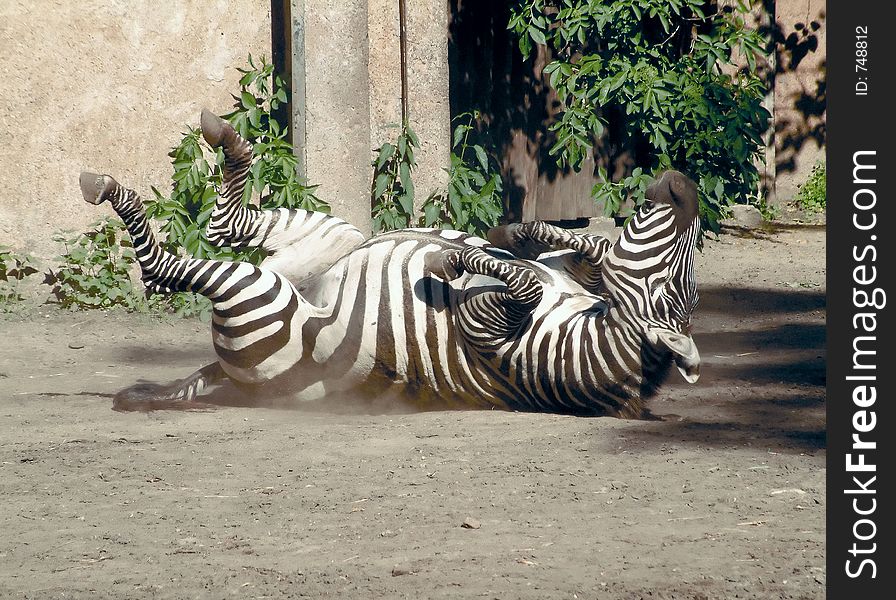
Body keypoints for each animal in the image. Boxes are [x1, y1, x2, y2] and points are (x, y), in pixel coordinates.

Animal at [77, 109, 700, 418]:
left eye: (674, 283)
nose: (685, 183)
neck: (586, 327)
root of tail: (227, 380)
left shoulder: (490, 335)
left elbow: (519, 282)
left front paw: (455, 258)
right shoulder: (565, 274)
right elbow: (567, 252)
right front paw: (503, 234)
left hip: (264, 300)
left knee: (166, 265)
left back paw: (110, 189)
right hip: (336, 237)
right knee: (226, 223)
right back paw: (219, 138)